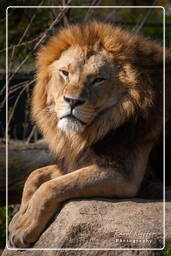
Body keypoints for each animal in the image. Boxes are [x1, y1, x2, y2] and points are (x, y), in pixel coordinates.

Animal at [8, 22, 171, 248]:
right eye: (65, 73)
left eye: (98, 80)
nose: (72, 101)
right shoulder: (78, 160)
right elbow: (35, 175)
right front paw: (19, 216)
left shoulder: (125, 175)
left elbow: (52, 186)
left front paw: (25, 227)